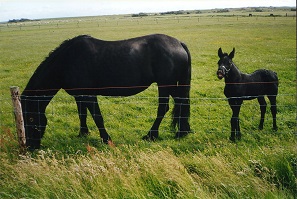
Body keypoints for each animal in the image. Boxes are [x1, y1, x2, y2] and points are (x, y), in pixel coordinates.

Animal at [21, 33, 192, 149]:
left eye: (31, 118)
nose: (31, 146)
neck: (66, 61)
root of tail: (179, 43)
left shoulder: (89, 95)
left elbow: (97, 117)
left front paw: (106, 139)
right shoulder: (79, 95)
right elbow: (82, 114)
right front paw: (83, 134)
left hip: (165, 85)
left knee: (163, 108)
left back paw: (151, 135)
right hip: (172, 86)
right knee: (181, 104)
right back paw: (183, 132)